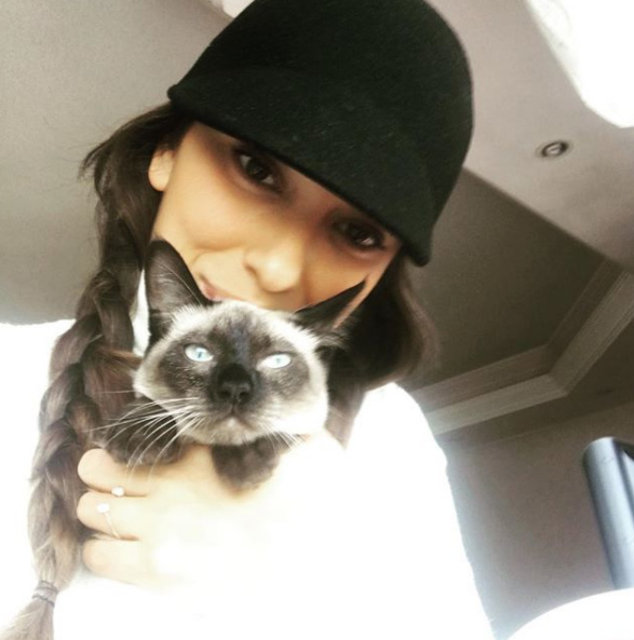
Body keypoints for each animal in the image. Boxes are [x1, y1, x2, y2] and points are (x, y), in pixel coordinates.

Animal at [102, 240, 363, 488]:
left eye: (277, 361)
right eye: (199, 354)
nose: (235, 389)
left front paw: (244, 461)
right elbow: (151, 403)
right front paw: (137, 435)